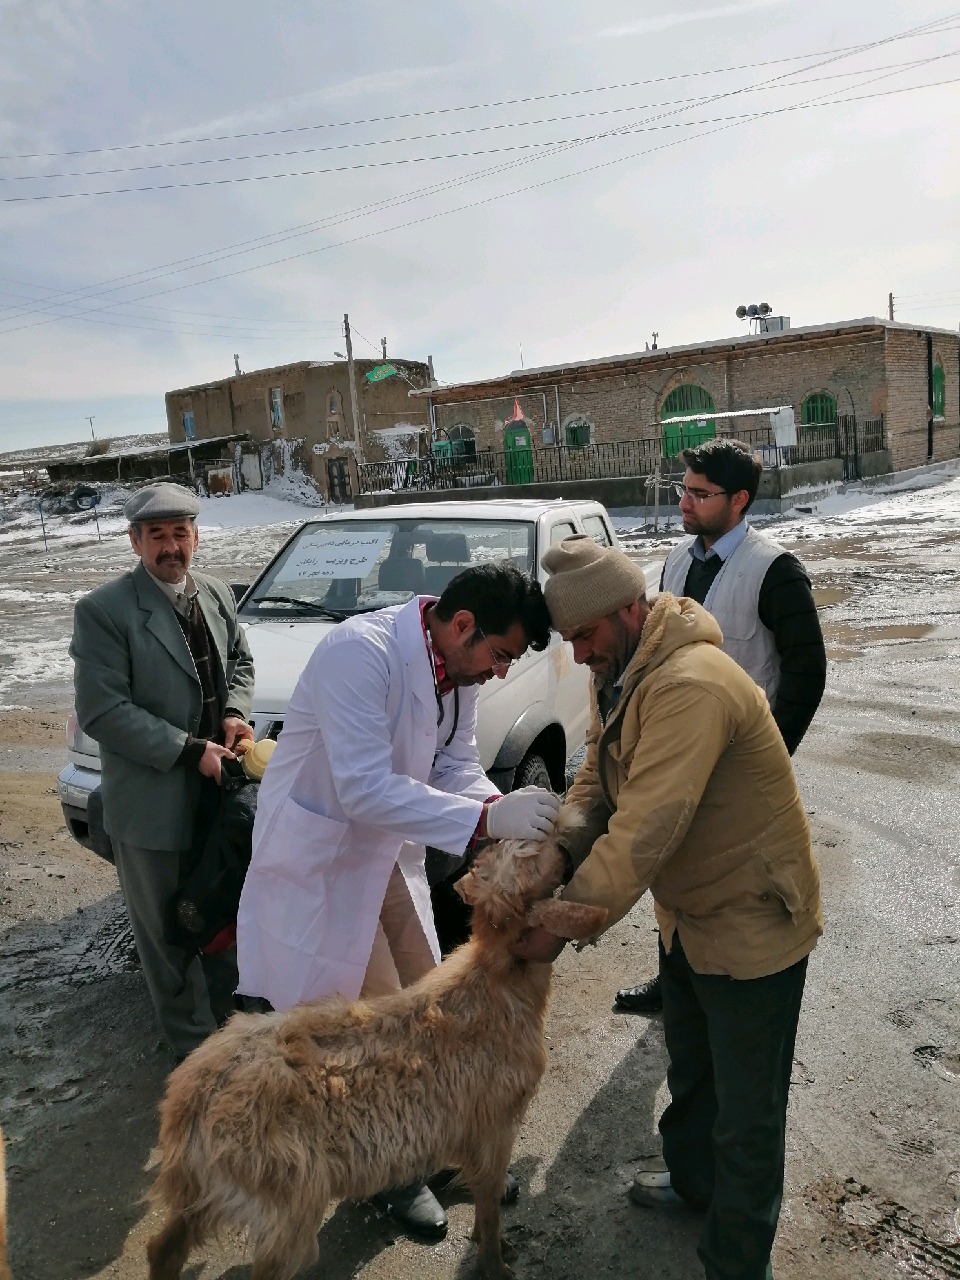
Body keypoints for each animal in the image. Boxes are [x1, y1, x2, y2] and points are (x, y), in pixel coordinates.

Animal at [146, 819, 604, 1280]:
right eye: (528, 854)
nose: (567, 846)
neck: (496, 984)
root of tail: (188, 1102)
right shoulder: (493, 1124)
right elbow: (489, 1205)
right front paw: (495, 1263)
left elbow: (484, 1197)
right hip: (286, 1198)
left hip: (216, 1188)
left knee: (164, 1246)